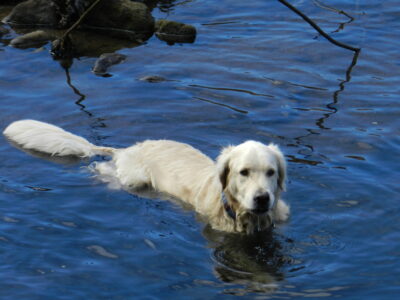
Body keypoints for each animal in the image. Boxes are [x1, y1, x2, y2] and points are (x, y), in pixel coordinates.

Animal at [3, 119, 290, 234]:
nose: (262, 199)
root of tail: (127, 149)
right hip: (133, 178)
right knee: (104, 170)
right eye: (244, 173)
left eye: (271, 172)